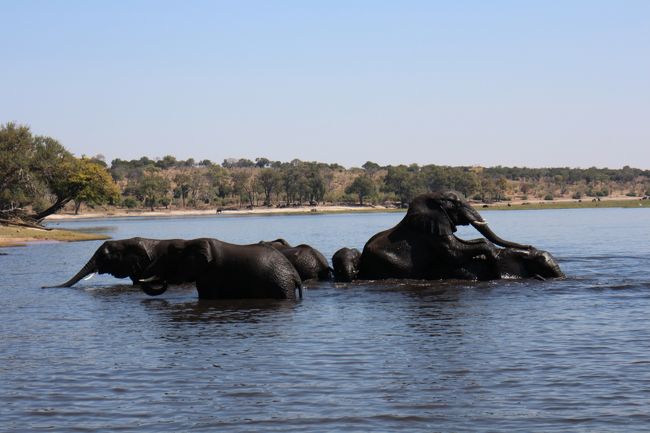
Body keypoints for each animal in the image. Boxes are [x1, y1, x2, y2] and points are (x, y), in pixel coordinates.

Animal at [138, 236, 302, 300]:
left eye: (168, 258)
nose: (164, 281)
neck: (190, 242)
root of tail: (295, 275)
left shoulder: (211, 275)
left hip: (280, 284)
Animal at [354, 190, 560, 280]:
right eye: (456, 204)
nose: (530, 246)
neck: (433, 197)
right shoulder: (429, 230)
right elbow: (454, 253)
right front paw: (493, 261)